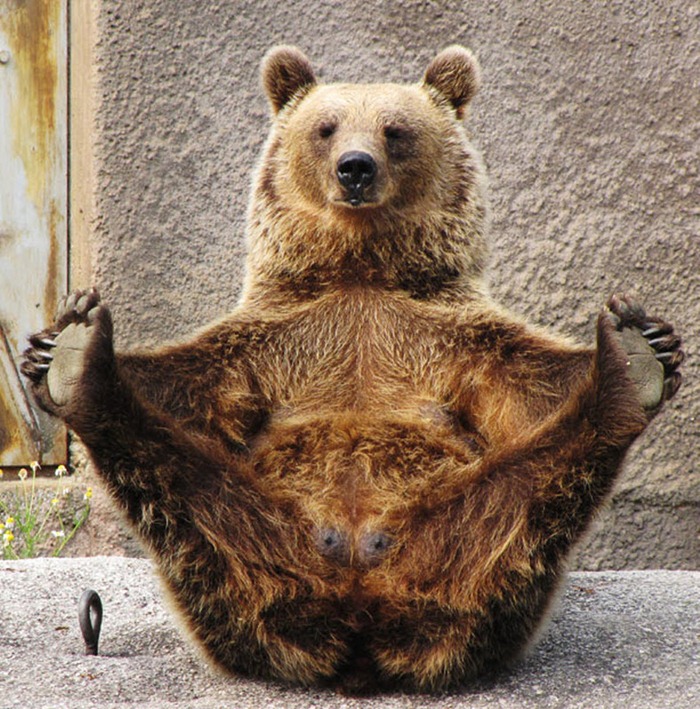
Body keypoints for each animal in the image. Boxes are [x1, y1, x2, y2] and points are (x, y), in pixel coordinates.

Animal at [21, 45, 683, 694]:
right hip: (246, 556)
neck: (360, 269)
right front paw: (49, 347)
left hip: (461, 547)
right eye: (326, 127)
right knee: (187, 491)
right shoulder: (274, 340)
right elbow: (185, 385)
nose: (355, 167)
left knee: (526, 497)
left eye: (395, 130)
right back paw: (82, 365)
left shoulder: (448, 336)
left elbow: (532, 384)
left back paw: (628, 369)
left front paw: (652, 337)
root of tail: (360, 620)